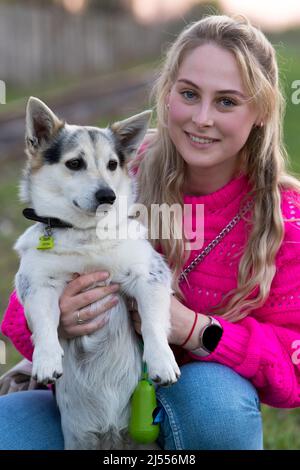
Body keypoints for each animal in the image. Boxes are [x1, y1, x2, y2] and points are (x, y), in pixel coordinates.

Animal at [14, 97, 180, 450]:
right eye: (75, 163)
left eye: (113, 164)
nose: (108, 195)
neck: (86, 235)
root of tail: (110, 434)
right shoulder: (39, 285)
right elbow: (45, 325)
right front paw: (46, 359)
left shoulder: (149, 275)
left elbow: (153, 324)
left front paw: (162, 360)